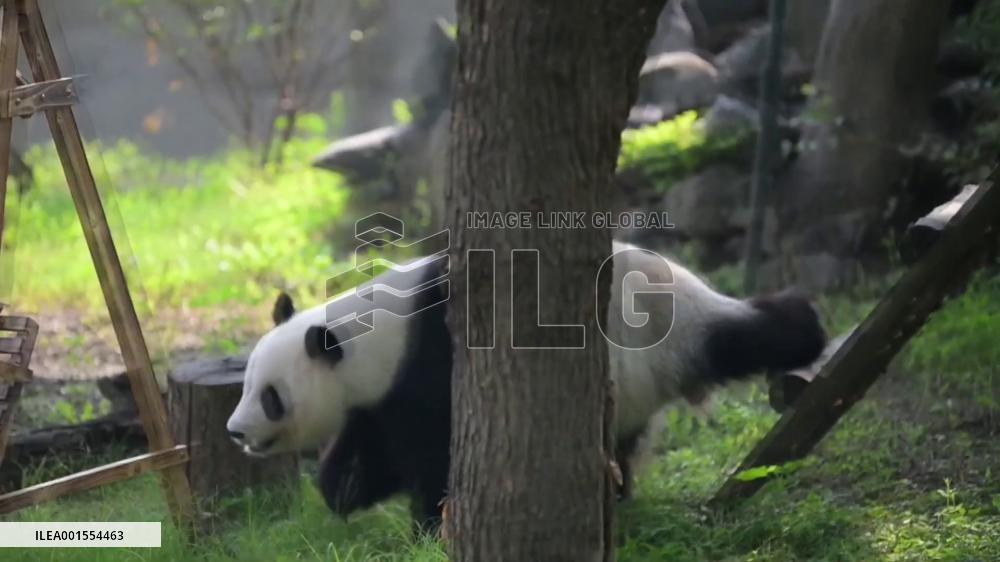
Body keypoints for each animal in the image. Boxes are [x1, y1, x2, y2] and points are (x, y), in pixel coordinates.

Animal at [226, 242, 826, 528]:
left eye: (270, 397)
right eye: (245, 384)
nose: (235, 431)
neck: (376, 337)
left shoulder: (432, 367)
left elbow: (433, 453)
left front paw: (428, 527)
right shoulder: (382, 395)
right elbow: (373, 445)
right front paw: (341, 488)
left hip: (648, 343)